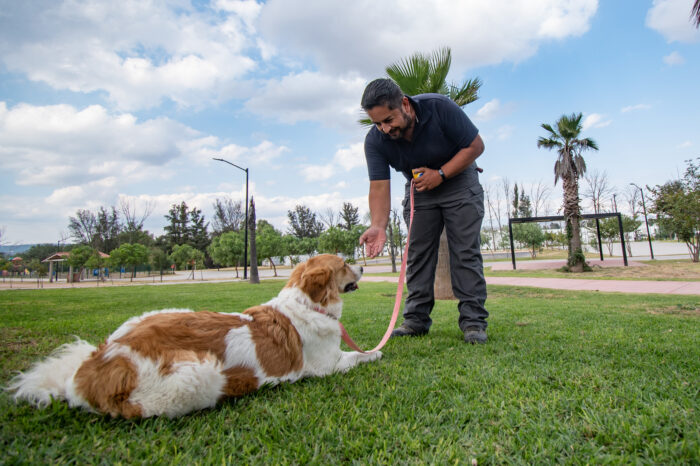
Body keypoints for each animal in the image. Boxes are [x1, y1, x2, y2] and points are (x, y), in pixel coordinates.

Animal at [6, 255, 382, 418]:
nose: (364, 264)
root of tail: (95, 367)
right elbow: (358, 354)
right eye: (344, 264)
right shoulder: (328, 365)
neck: (307, 304)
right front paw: (376, 353)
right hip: (198, 375)